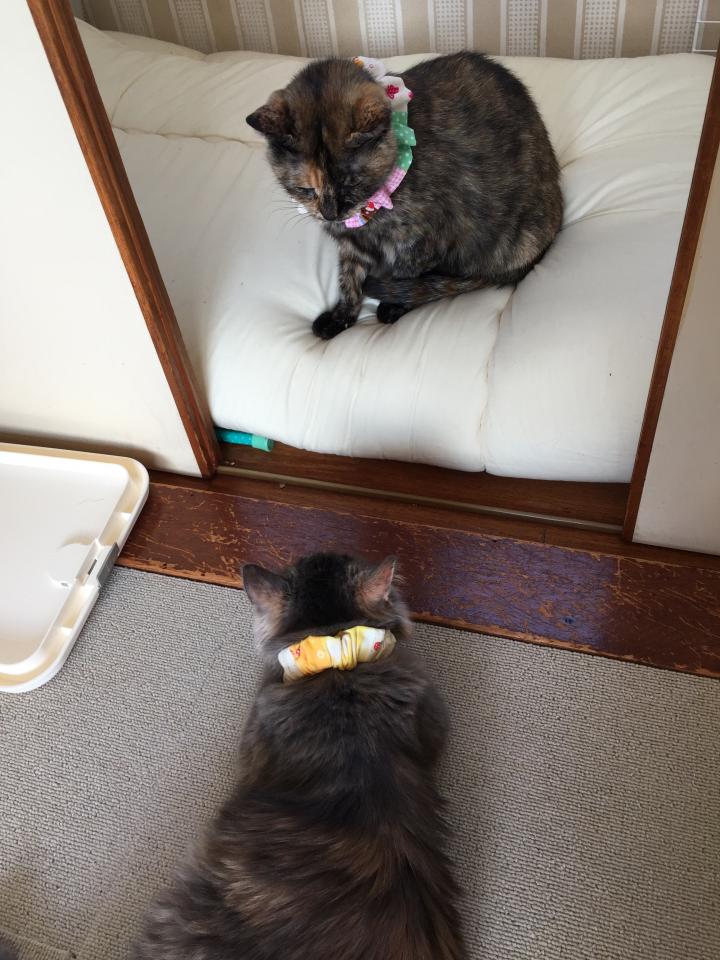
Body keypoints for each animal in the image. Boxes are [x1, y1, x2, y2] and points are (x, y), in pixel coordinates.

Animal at [247, 52, 563, 339]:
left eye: (351, 183)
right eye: (305, 190)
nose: (330, 214)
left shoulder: (425, 239)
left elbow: (406, 271)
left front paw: (394, 304)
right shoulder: (351, 243)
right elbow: (348, 278)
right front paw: (341, 316)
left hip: (518, 241)